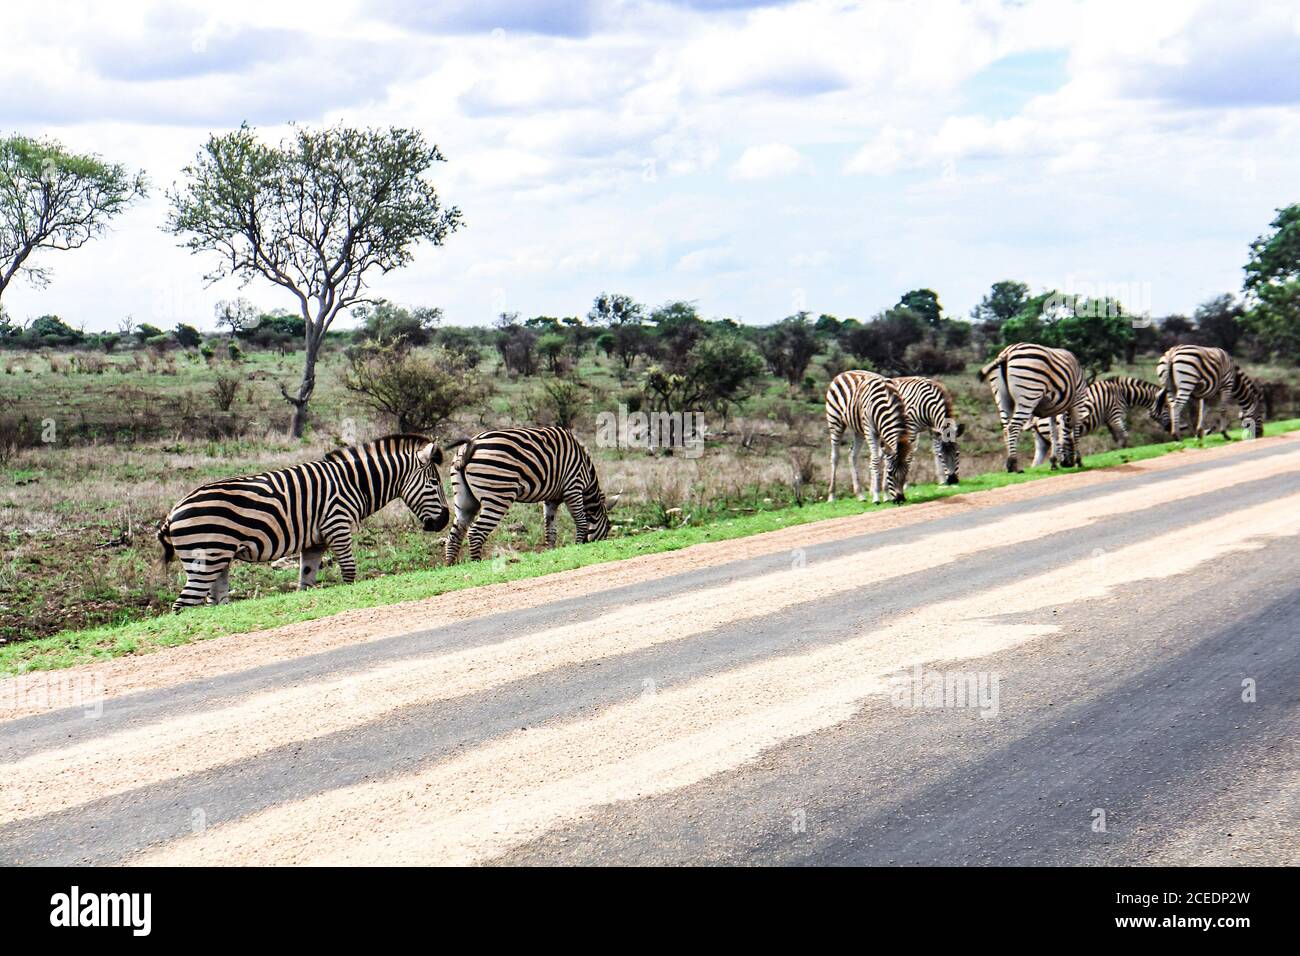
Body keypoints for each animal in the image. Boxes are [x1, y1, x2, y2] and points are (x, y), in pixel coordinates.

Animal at [156, 434, 449, 613]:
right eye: (435, 483)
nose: (445, 520)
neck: (354, 482)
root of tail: (172, 513)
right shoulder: (337, 525)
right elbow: (349, 573)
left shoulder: (314, 541)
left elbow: (305, 583)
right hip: (204, 561)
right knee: (182, 605)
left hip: (220, 561)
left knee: (216, 601)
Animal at [444, 424, 616, 564]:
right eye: (608, 526)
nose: (591, 546)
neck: (586, 472)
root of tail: (471, 444)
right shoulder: (573, 487)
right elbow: (581, 521)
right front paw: (577, 546)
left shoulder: (551, 499)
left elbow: (550, 529)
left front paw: (552, 552)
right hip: (499, 496)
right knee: (475, 533)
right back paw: (477, 564)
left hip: (465, 499)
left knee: (455, 534)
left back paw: (451, 566)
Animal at [821, 369, 915, 504]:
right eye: (890, 474)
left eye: (906, 473)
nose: (900, 499)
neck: (888, 401)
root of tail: (843, 373)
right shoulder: (871, 430)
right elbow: (875, 461)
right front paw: (876, 497)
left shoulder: (883, 432)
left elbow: (884, 460)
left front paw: (885, 495)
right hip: (835, 422)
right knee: (835, 457)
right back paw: (832, 496)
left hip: (859, 430)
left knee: (852, 455)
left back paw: (860, 495)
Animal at [982, 343, 1086, 473]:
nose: (1067, 463)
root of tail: (1007, 353)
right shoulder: (1078, 401)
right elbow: (1075, 432)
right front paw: (1079, 461)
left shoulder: (1052, 409)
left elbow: (1054, 433)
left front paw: (1053, 462)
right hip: (1028, 395)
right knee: (1012, 427)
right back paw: (1014, 465)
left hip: (1002, 400)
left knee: (1005, 429)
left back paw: (1009, 464)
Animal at [1029, 377, 1175, 468]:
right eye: (1166, 407)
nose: (1170, 428)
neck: (1122, 392)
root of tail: (1035, 418)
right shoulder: (1115, 414)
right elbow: (1124, 435)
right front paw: (1125, 454)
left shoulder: (1109, 420)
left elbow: (1117, 437)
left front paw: (1119, 453)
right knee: (1060, 444)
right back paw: (1063, 463)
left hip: (1042, 439)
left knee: (1036, 461)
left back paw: (1055, 464)